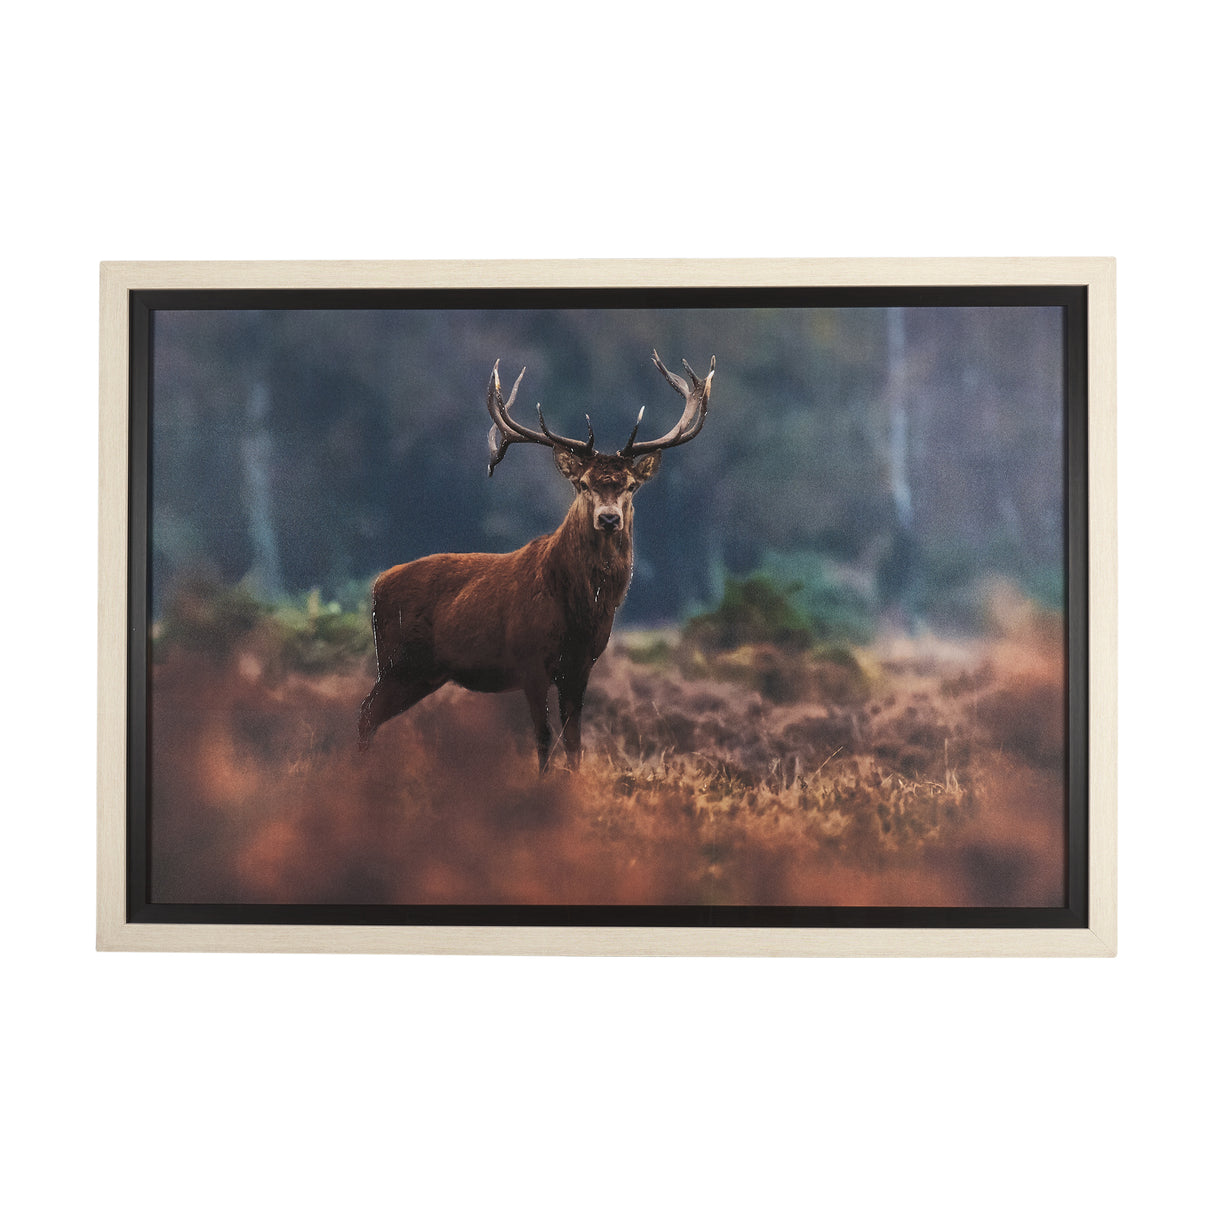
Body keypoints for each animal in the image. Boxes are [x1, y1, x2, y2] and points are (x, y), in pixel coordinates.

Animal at [357, 350, 715, 770]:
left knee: (369, 714)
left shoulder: (581, 666)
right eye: (584, 483)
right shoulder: (530, 662)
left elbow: (574, 742)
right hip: (399, 663)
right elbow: (544, 740)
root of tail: (377, 586)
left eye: (630, 486)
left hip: (422, 673)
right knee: (365, 713)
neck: (580, 610)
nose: (609, 518)